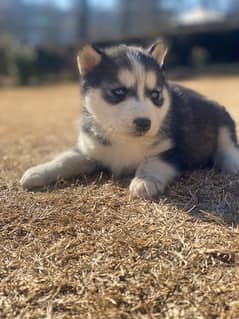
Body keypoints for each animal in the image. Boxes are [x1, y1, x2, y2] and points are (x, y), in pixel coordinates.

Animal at [20, 41, 239, 199]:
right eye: (119, 91)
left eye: (155, 94)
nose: (144, 123)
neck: (124, 140)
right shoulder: (89, 149)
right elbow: (65, 159)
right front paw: (39, 171)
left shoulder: (175, 149)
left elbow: (153, 161)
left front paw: (145, 180)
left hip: (220, 115)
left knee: (227, 143)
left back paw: (232, 162)